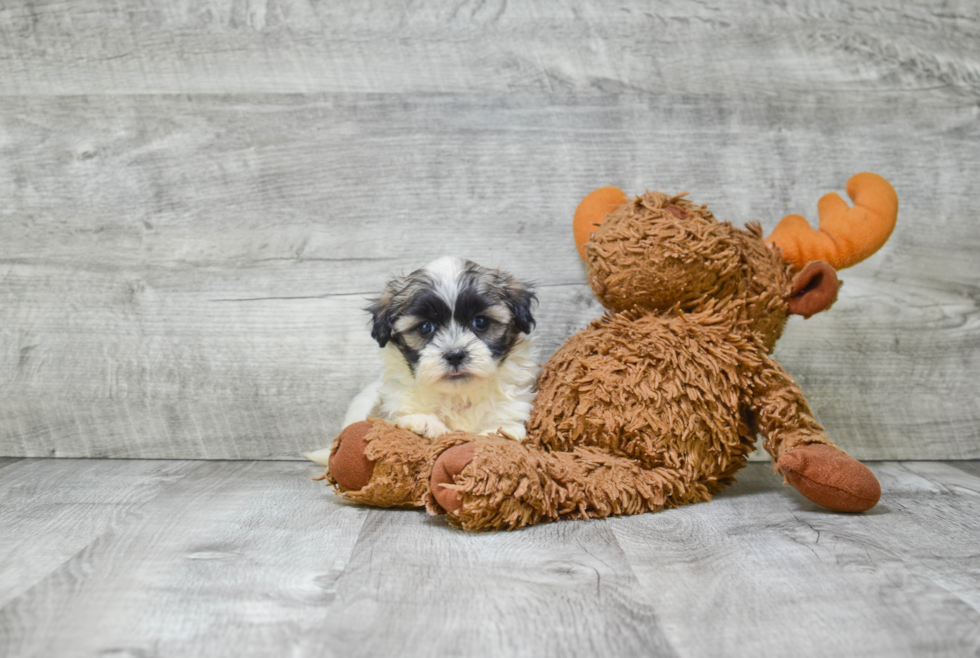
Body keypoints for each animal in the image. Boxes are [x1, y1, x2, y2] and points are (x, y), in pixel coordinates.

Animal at [312, 254, 536, 464]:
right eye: (426, 327)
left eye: (480, 322)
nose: (455, 354)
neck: (458, 396)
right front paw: (424, 421)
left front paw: (500, 432)